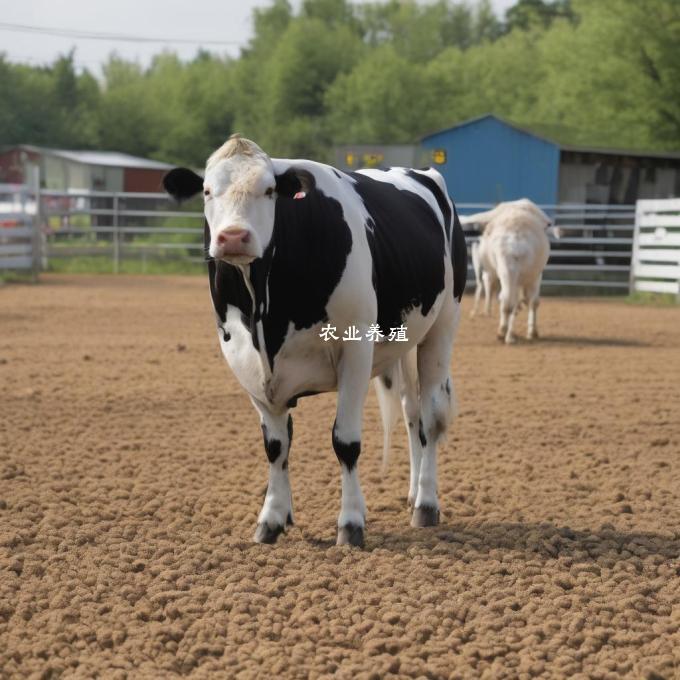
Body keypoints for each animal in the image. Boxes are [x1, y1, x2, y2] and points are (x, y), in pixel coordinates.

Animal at [163, 134, 468, 548]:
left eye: (269, 190)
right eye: (208, 191)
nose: (233, 237)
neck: (266, 317)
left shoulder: (355, 348)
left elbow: (346, 441)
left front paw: (351, 524)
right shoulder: (241, 356)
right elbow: (276, 446)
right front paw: (272, 519)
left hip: (442, 326)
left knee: (432, 416)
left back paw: (426, 503)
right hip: (402, 341)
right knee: (413, 414)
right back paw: (411, 494)